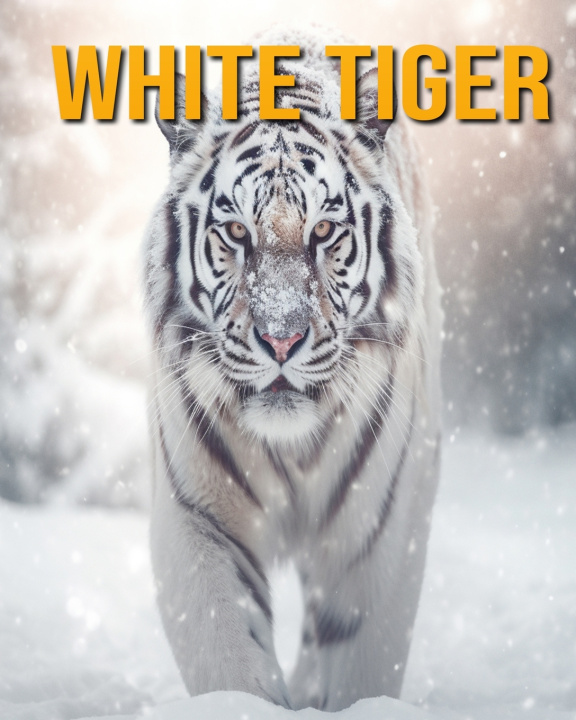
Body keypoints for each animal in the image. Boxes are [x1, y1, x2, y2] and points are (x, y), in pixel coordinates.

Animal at [143, 28, 442, 713]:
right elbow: (228, 658)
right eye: (235, 232)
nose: (282, 339)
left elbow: (360, 663)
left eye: (324, 230)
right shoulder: (197, 517)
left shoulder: (378, 531)